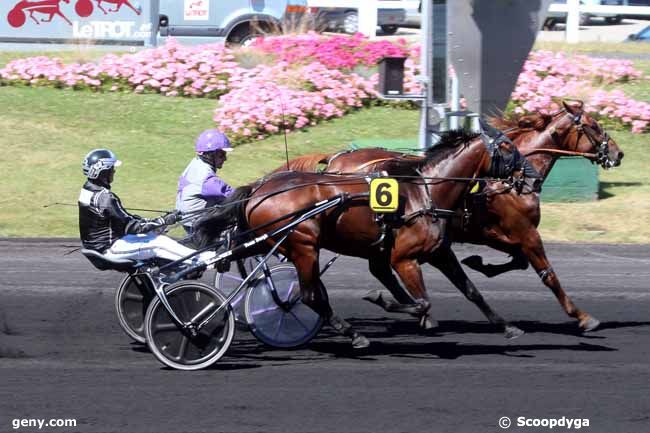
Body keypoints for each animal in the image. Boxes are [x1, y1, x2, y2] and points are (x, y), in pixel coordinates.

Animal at [192, 131, 520, 348]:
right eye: (507, 148)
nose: (525, 177)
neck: (423, 191)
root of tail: (259, 189)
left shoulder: (439, 252)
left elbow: (471, 291)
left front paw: (507, 326)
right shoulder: (403, 258)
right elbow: (421, 301)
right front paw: (382, 300)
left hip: (269, 239)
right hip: (303, 245)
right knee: (310, 296)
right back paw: (351, 333)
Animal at [274, 101, 624, 330]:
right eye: (594, 126)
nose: (618, 153)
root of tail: (334, 160)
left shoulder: (497, 233)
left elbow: (512, 263)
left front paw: (479, 265)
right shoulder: (524, 232)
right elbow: (547, 274)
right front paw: (582, 317)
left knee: (380, 269)